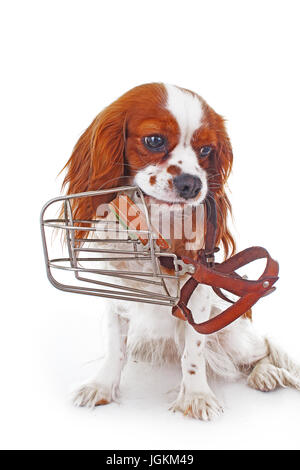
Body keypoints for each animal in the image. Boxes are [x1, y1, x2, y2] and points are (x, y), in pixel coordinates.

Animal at [61, 82, 300, 420]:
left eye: (206, 150)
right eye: (155, 140)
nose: (192, 184)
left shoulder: (196, 298)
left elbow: (193, 354)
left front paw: (196, 396)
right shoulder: (115, 294)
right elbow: (114, 348)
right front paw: (102, 386)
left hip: (235, 333)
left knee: (262, 348)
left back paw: (265, 373)